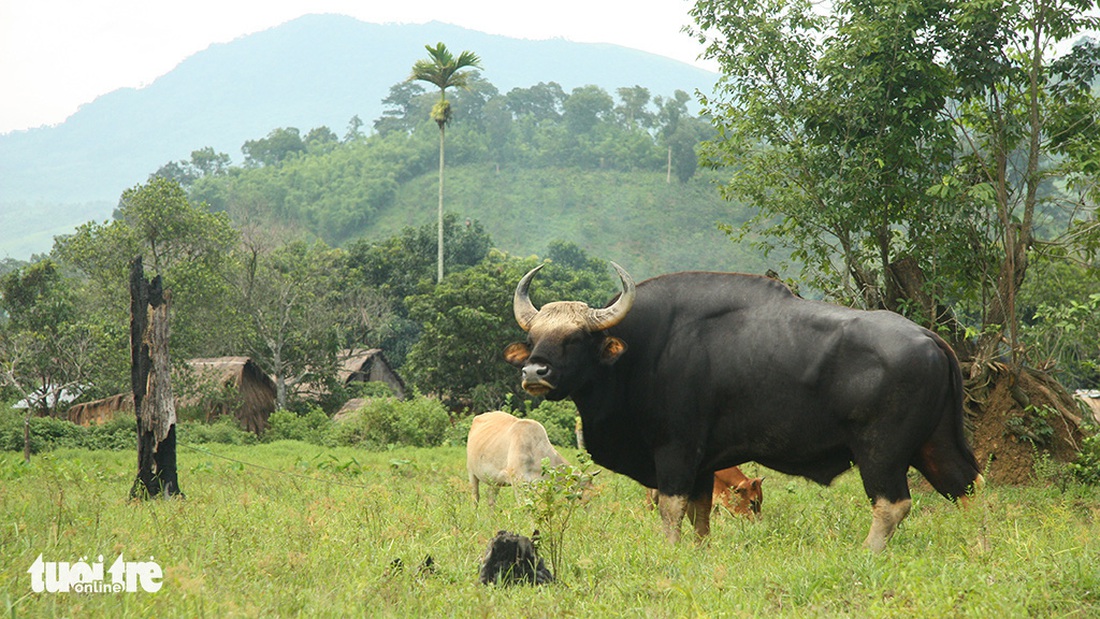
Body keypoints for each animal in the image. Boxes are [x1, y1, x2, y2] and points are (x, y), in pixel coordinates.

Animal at [503, 262, 985, 551]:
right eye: (533, 337)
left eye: (576, 337)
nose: (534, 372)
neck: (643, 352)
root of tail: (929, 338)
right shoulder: (702, 464)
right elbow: (699, 511)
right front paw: (698, 550)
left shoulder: (676, 451)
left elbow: (671, 507)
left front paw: (669, 552)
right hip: (935, 443)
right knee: (969, 487)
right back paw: (980, 547)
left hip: (881, 450)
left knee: (892, 504)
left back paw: (868, 553)